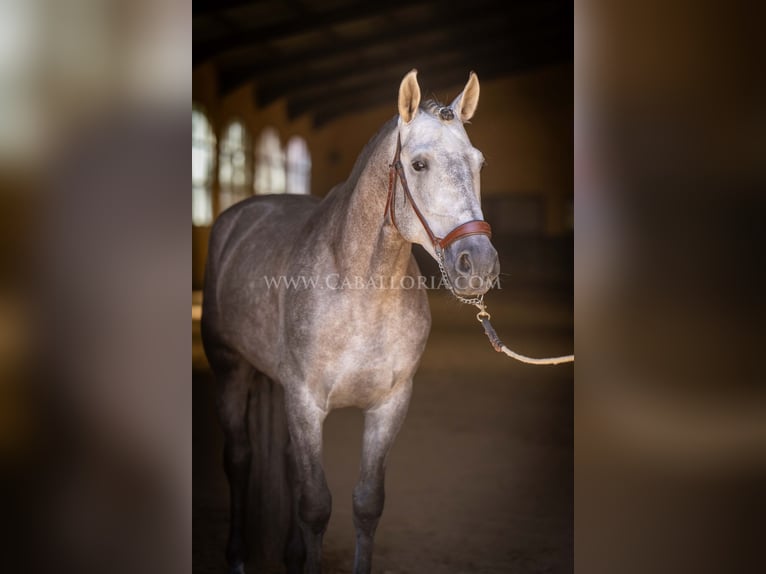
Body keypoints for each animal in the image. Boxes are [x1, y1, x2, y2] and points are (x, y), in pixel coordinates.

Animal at [204, 71, 500, 574]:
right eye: (418, 165)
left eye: (478, 162)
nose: (477, 263)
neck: (360, 290)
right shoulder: (305, 402)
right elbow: (315, 506)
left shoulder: (389, 404)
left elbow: (366, 503)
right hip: (231, 371)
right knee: (239, 459)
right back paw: (238, 558)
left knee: (285, 462)